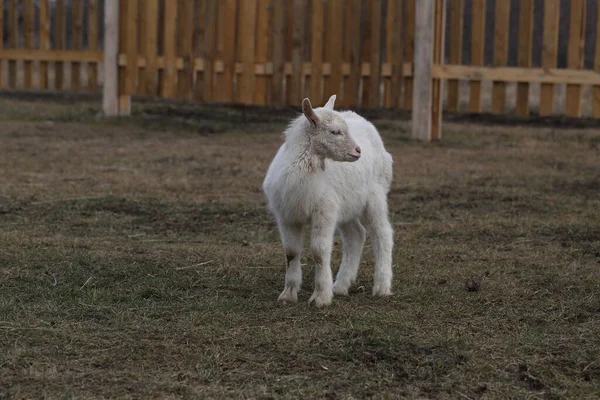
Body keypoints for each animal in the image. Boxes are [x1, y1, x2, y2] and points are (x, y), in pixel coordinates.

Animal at [262, 95, 394, 308]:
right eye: (334, 132)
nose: (358, 151)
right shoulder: (287, 214)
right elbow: (291, 252)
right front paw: (288, 294)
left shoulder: (324, 210)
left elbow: (319, 251)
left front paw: (321, 297)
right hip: (347, 205)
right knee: (356, 235)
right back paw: (340, 285)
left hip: (376, 195)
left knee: (383, 234)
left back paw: (381, 286)